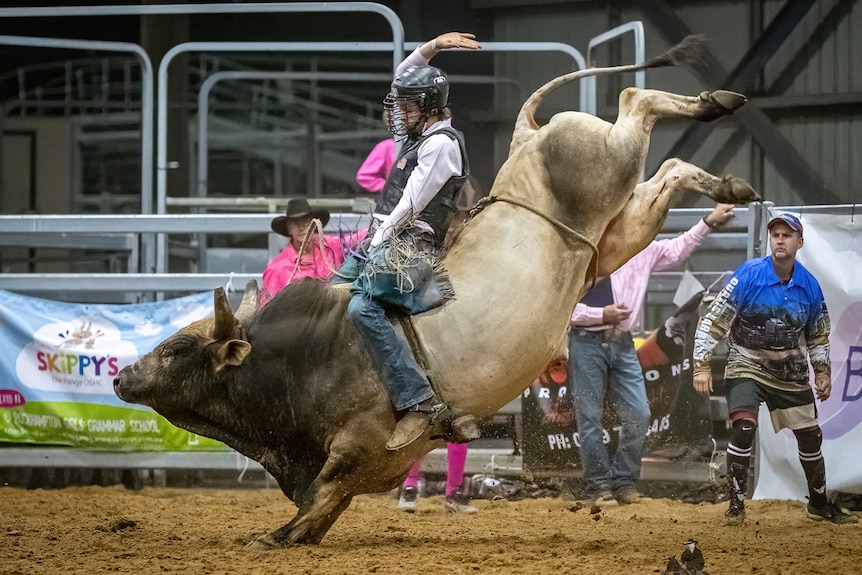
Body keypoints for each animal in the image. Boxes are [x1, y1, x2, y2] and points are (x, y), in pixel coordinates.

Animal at [115, 37, 764, 548]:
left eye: (176, 348)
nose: (121, 378)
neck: (301, 358)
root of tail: (527, 138)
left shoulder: (356, 444)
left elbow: (316, 501)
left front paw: (267, 538)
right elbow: (320, 511)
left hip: (610, 165)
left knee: (636, 103)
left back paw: (716, 110)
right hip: (612, 235)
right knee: (669, 169)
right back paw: (728, 166)